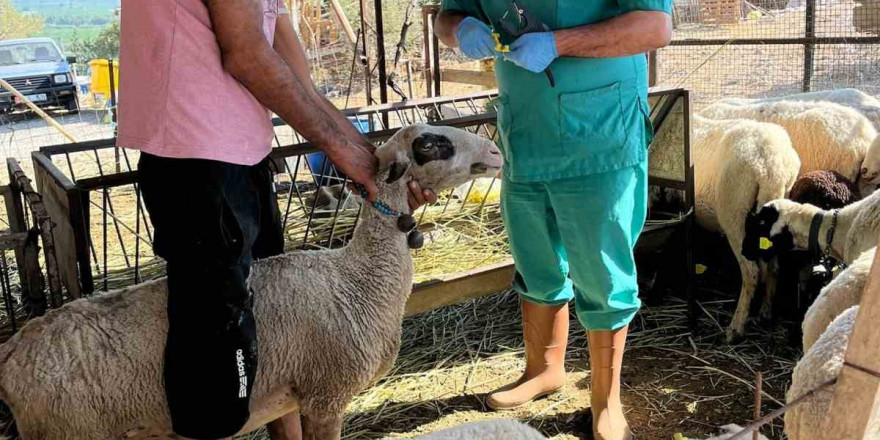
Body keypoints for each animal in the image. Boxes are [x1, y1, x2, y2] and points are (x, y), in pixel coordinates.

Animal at [0, 123, 502, 440]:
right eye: (430, 144)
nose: (496, 152)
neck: (358, 278)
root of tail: (13, 351)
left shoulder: (290, 398)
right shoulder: (326, 395)